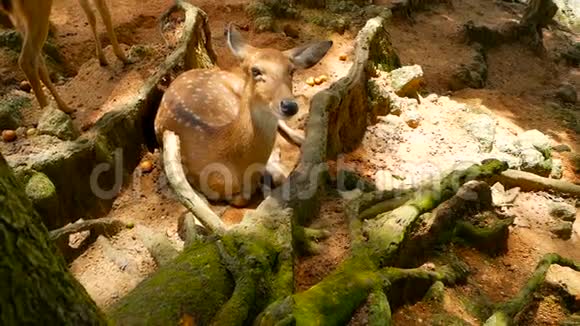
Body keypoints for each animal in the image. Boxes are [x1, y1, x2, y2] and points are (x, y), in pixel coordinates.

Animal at [0, 0, 130, 114]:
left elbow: (91, 15)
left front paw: (102, 59)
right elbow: (105, 13)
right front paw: (123, 57)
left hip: (19, 17)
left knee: (38, 61)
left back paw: (65, 108)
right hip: (36, 10)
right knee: (27, 60)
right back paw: (47, 112)